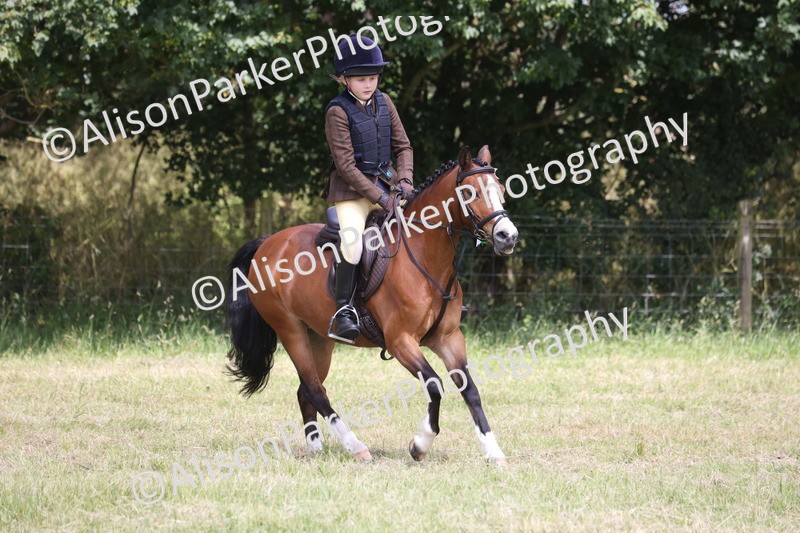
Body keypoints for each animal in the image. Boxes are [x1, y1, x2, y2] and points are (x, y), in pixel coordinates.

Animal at [225, 145, 519, 465]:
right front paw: (420, 445)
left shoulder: (448, 338)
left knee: (307, 390)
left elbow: (470, 389)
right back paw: (356, 446)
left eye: (500, 189)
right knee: (315, 390)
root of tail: (268, 243)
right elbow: (434, 385)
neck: (424, 257)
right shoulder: (400, 341)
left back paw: (316, 448)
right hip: (290, 331)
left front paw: (494, 452)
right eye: (469, 193)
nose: (508, 236)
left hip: (319, 338)